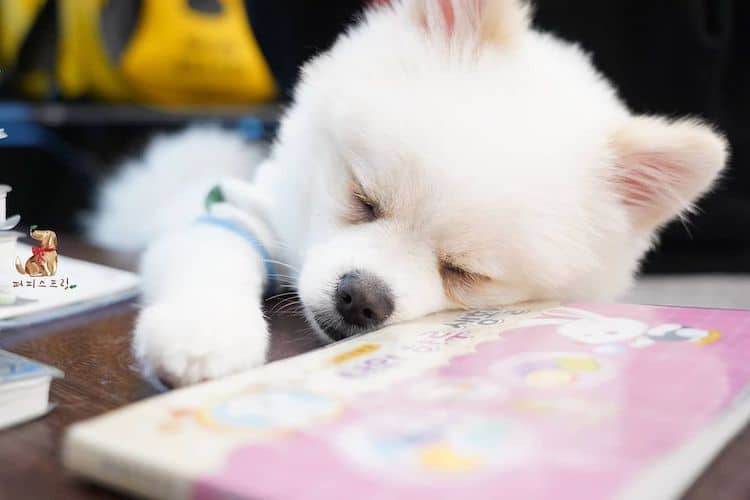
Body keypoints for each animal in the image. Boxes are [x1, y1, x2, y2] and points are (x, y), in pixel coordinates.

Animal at [89, 0, 728, 386]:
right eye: (363, 198)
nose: (362, 298)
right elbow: (213, 255)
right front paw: (203, 331)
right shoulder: (240, 209)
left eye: (464, 273)